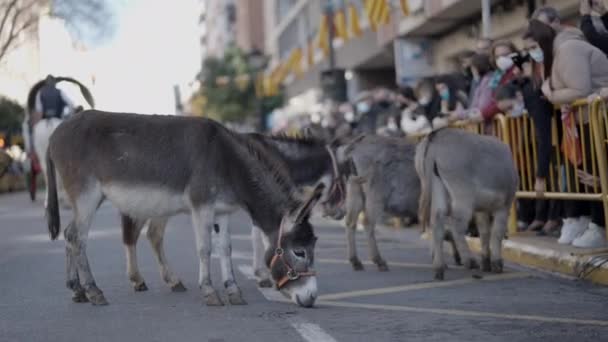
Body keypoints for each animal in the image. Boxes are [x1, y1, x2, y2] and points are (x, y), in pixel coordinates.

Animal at [46, 111, 324, 308]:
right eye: (299, 252)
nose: (311, 298)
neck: (227, 162)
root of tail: (55, 133)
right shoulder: (201, 207)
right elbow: (205, 248)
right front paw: (210, 292)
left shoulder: (222, 212)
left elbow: (225, 249)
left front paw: (233, 291)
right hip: (87, 195)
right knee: (77, 237)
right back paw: (93, 291)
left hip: (85, 199)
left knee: (69, 234)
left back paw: (77, 290)